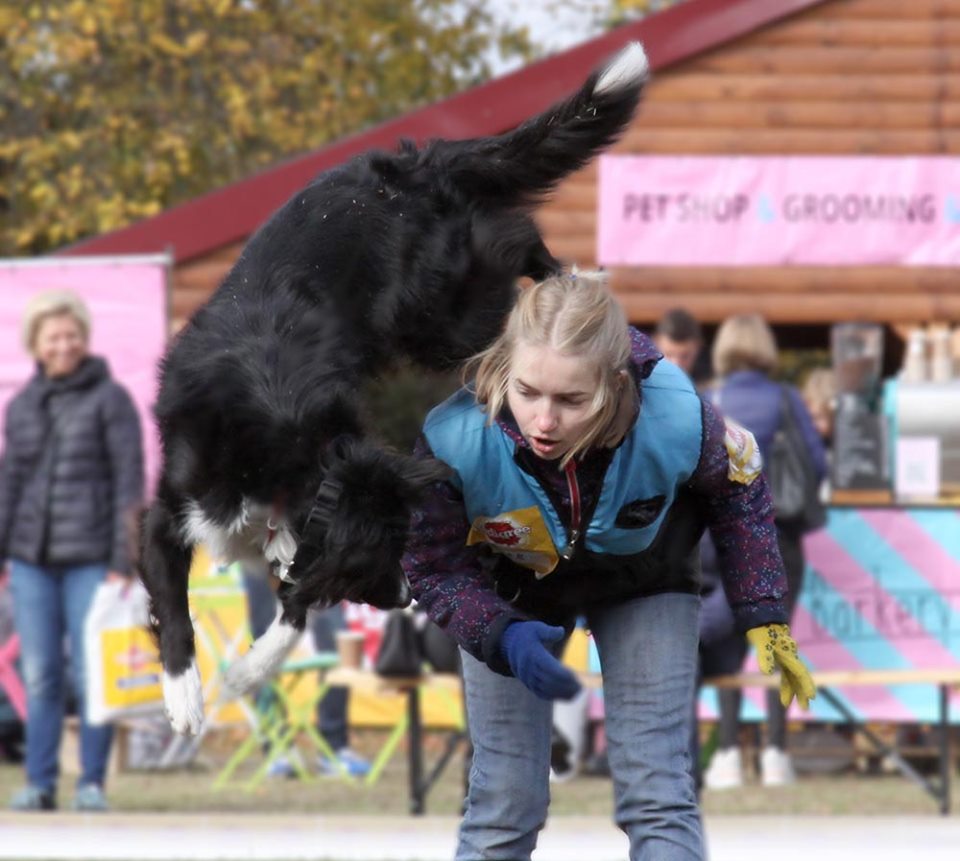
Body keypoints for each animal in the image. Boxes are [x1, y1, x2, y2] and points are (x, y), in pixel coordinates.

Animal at [142, 43, 648, 736]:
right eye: (382, 556)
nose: (410, 598)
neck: (297, 462)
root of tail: (416, 163)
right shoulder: (172, 510)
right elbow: (182, 604)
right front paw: (187, 694)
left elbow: (295, 606)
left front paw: (241, 675)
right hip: (436, 313)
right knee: (508, 237)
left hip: (435, 315)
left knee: (512, 240)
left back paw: (571, 279)